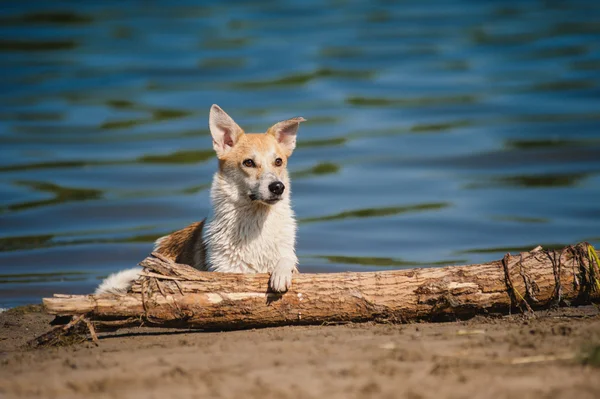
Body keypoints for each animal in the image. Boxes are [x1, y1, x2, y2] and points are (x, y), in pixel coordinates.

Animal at [97, 104, 310, 296]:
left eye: (278, 161)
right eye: (248, 162)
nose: (277, 187)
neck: (255, 222)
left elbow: (287, 259)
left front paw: (281, 274)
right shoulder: (224, 269)